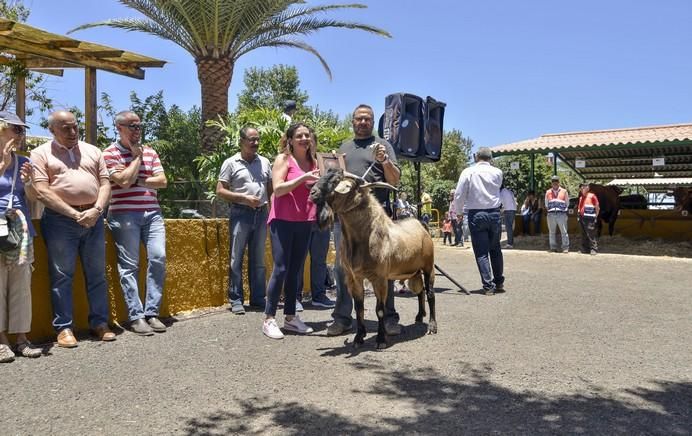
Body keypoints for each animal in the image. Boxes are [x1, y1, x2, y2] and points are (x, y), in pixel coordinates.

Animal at [310, 169, 438, 350]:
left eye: (336, 180)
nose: (312, 193)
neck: (368, 235)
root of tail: (422, 226)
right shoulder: (354, 278)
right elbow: (359, 309)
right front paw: (358, 338)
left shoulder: (380, 278)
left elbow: (380, 310)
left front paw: (381, 339)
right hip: (413, 272)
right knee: (419, 291)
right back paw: (420, 316)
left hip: (428, 266)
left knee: (430, 293)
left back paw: (432, 326)